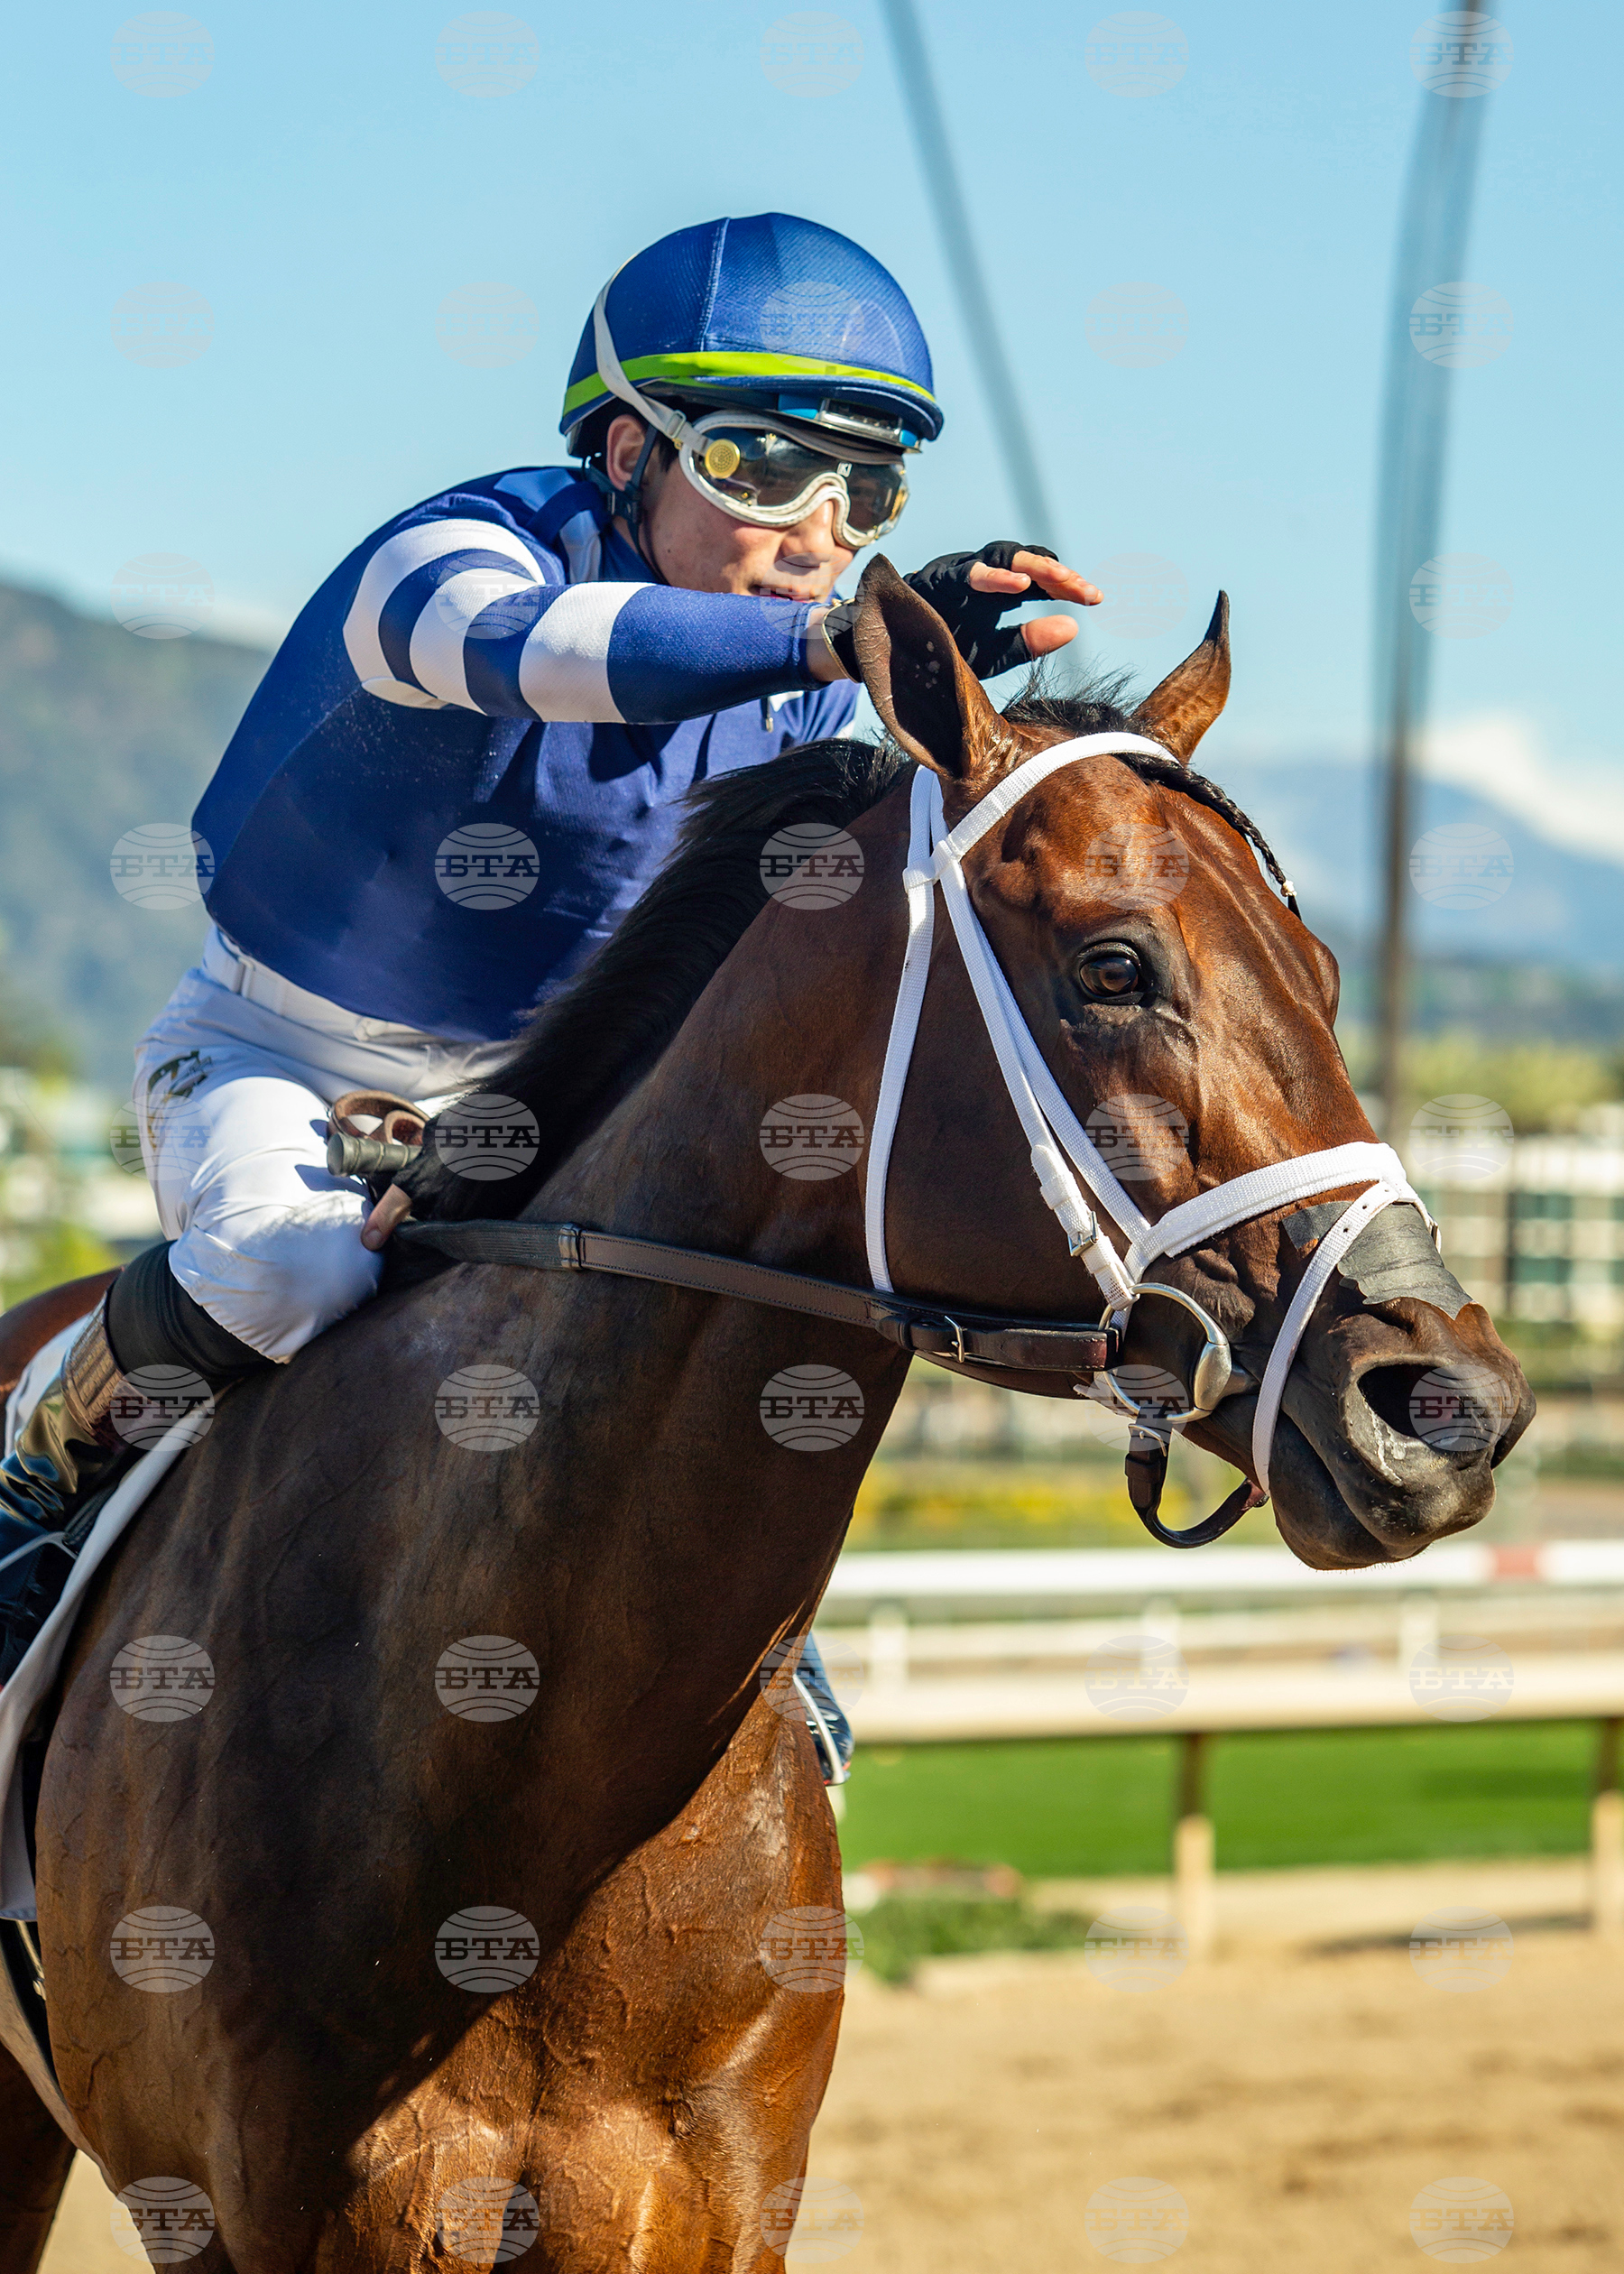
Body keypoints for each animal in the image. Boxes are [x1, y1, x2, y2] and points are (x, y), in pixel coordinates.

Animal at [0, 557, 1531, 2272]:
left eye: (1324, 978)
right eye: (1115, 965)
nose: (1447, 1405)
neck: (513, 1785)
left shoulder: (713, 2208)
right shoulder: (271, 2219)